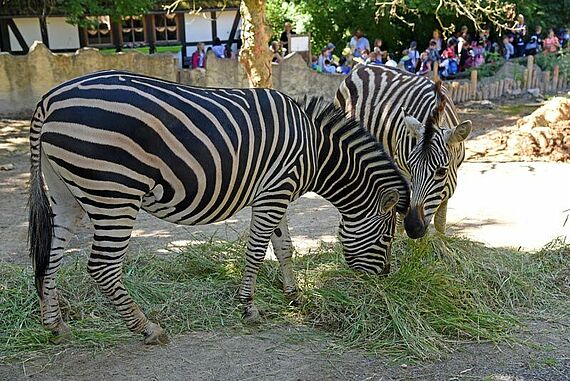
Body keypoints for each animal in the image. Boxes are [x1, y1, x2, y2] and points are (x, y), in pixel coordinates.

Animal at [28, 70, 410, 342]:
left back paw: (55, 326)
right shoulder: (274, 193)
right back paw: (147, 328)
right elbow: (257, 251)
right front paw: (249, 308)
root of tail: (50, 98)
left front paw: (293, 295)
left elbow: (285, 247)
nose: (386, 276)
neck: (316, 151)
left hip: (66, 193)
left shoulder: (278, 192)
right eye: (388, 238)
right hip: (114, 192)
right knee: (102, 267)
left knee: (51, 256)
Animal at [332, 65, 470, 238]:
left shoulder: (451, 177)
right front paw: (399, 238)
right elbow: (401, 214)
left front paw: (440, 240)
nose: (413, 227)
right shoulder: (402, 169)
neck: (434, 116)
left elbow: (440, 219)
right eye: (411, 168)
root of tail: (361, 66)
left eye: (441, 172)